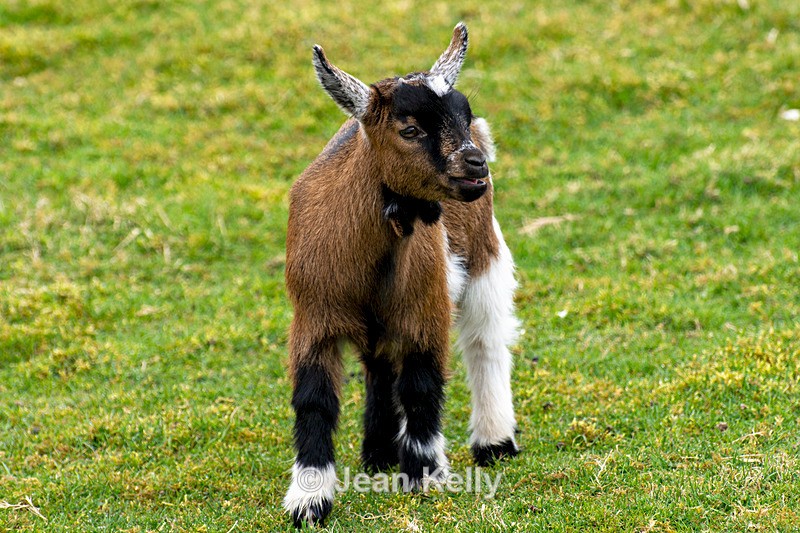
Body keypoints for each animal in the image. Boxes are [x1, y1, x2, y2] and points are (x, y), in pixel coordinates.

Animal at [283, 23, 520, 527]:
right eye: (409, 129)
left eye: (463, 113)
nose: (476, 164)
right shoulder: (313, 315)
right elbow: (314, 400)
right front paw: (309, 501)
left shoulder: (426, 305)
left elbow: (422, 386)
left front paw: (424, 474)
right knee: (378, 363)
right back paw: (378, 452)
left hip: (484, 254)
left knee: (486, 340)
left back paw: (493, 441)